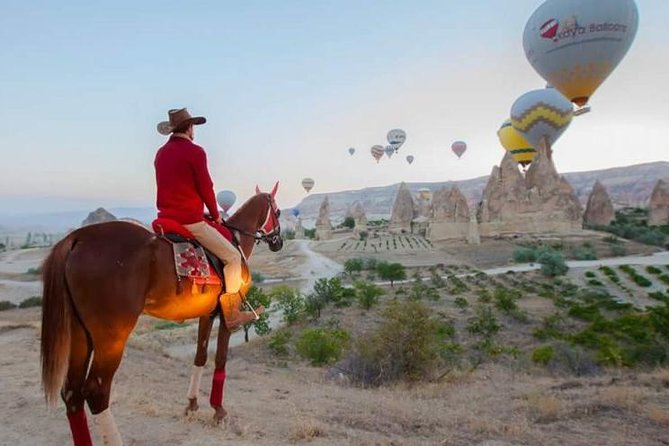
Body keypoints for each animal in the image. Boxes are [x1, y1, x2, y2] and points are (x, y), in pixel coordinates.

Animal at [41, 186, 282, 446]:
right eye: (277, 212)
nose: (278, 242)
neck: (234, 238)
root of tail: (77, 239)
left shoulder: (207, 314)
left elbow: (200, 357)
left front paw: (192, 404)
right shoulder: (228, 315)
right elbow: (220, 359)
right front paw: (218, 411)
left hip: (79, 334)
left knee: (71, 393)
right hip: (111, 338)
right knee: (96, 391)